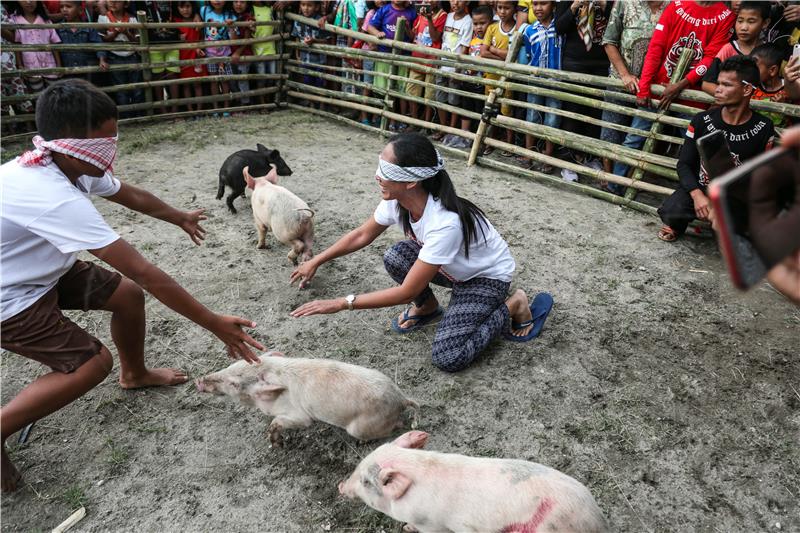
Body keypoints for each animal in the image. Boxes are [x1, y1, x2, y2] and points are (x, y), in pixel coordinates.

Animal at [195, 352, 418, 446]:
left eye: (234, 383)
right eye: (232, 364)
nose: (199, 380)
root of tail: (401, 398)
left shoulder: (299, 416)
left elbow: (282, 421)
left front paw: (275, 444)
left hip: (361, 427)